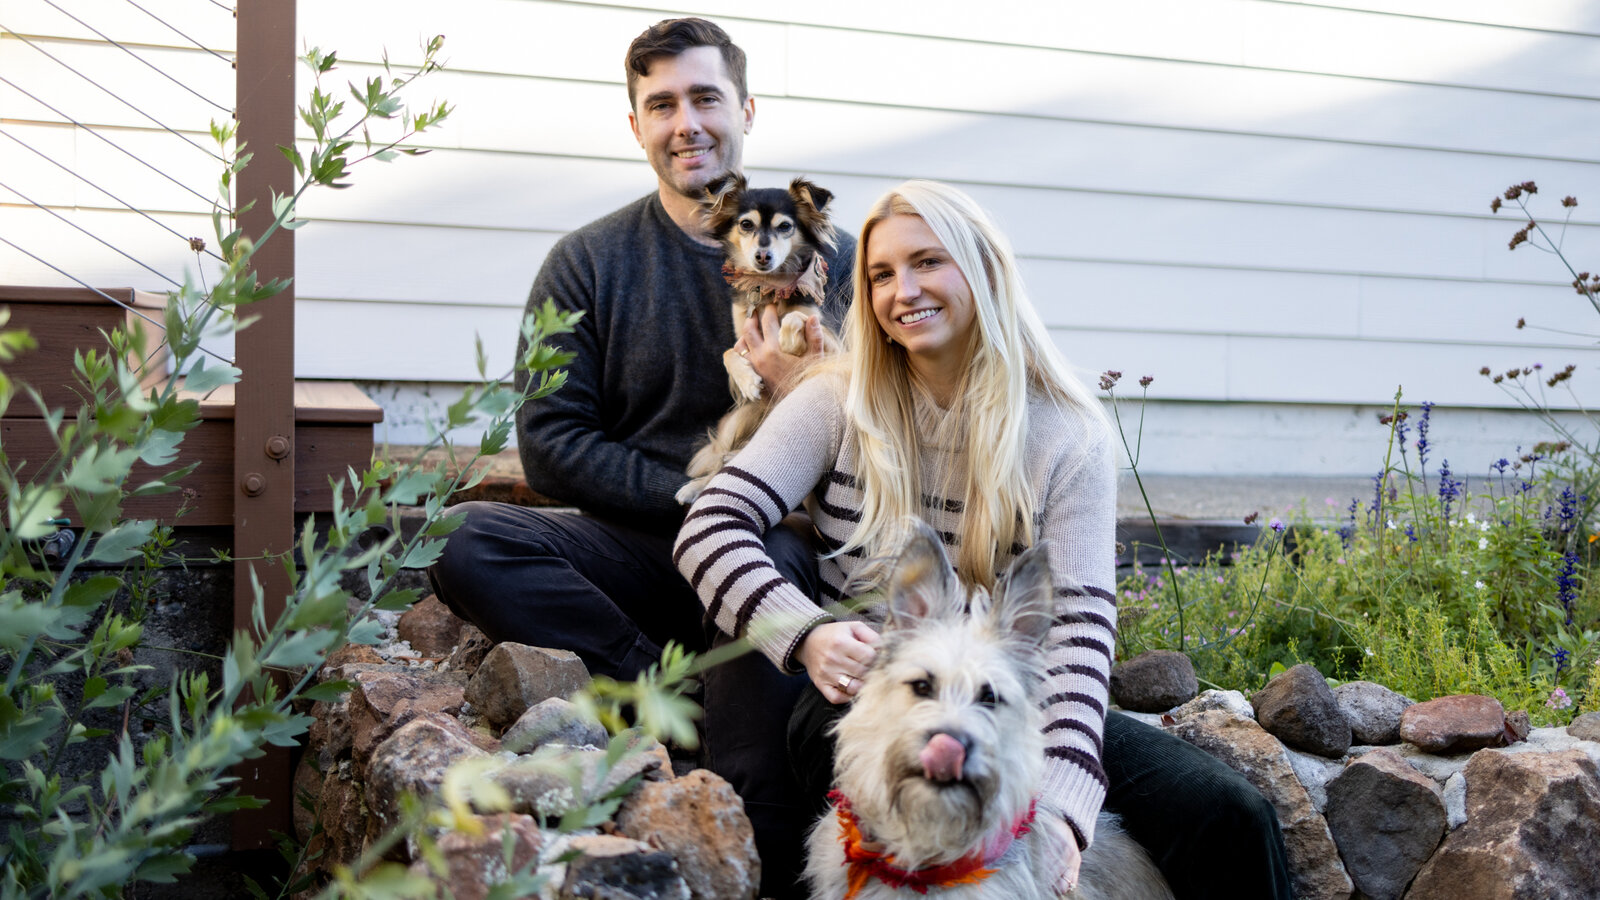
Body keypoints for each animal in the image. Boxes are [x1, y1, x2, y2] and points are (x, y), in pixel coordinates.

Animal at [675, 171, 844, 499]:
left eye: (785, 227)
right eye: (746, 224)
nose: (762, 256)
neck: (770, 288)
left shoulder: (830, 341)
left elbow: (793, 317)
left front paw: (786, 342)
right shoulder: (743, 334)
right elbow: (728, 353)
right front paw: (748, 379)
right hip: (741, 417)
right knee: (723, 461)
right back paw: (694, 488)